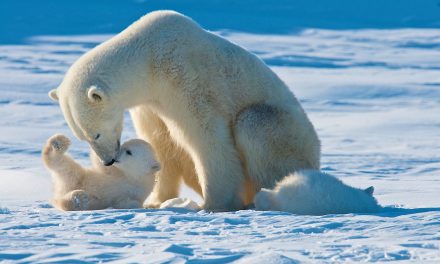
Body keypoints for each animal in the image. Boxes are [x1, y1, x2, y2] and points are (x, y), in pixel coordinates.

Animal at [47, 10, 320, 211]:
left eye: (95, 134)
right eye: (82, 136)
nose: (108, 161)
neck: (148, 59)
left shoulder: (185, 78)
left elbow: (207, 137)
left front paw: (213, 204)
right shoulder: (150, 102)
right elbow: (161, 142)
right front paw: (156, 201)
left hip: (290, 135)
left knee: (254, 125)